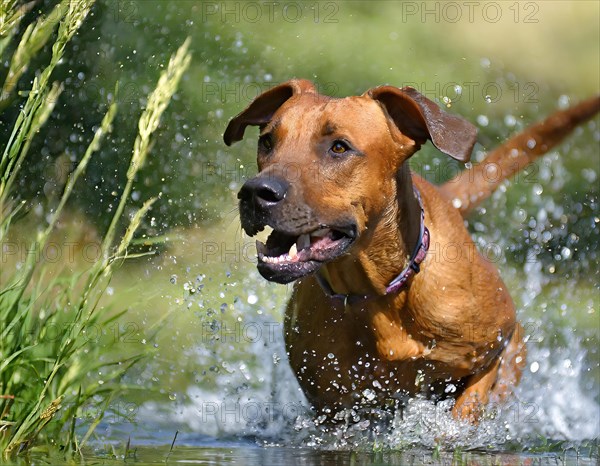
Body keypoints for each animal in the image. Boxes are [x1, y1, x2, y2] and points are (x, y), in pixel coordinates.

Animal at [224, 80, 600, 422]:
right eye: (267, 141)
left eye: (339, 148)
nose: (255, 192)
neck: (378, 291)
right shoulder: (332, 407)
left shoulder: (495, 350)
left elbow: (466, 409)